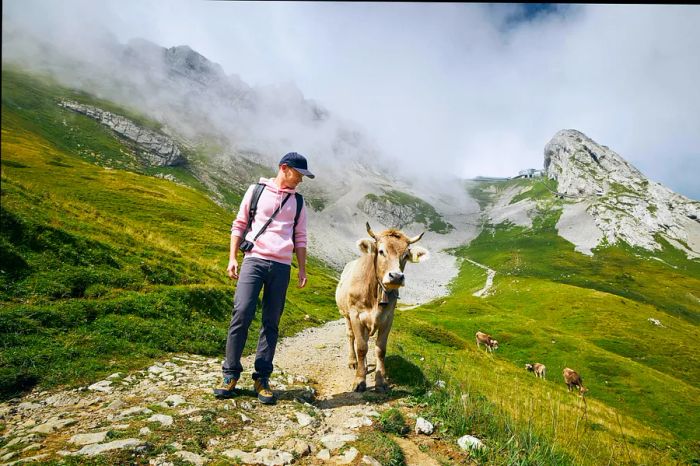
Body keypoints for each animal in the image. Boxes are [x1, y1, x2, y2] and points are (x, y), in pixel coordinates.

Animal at [336, 224, 430, 392]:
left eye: (406, 255)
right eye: (381, 251)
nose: (396, 277)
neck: (375, 292)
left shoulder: (388, 318)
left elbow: (380, 349)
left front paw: (381, 381)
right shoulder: (356, 315)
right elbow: (361, 347)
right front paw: (359, 381)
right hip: (345, 314)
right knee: (351, 337)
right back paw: (353, 362)